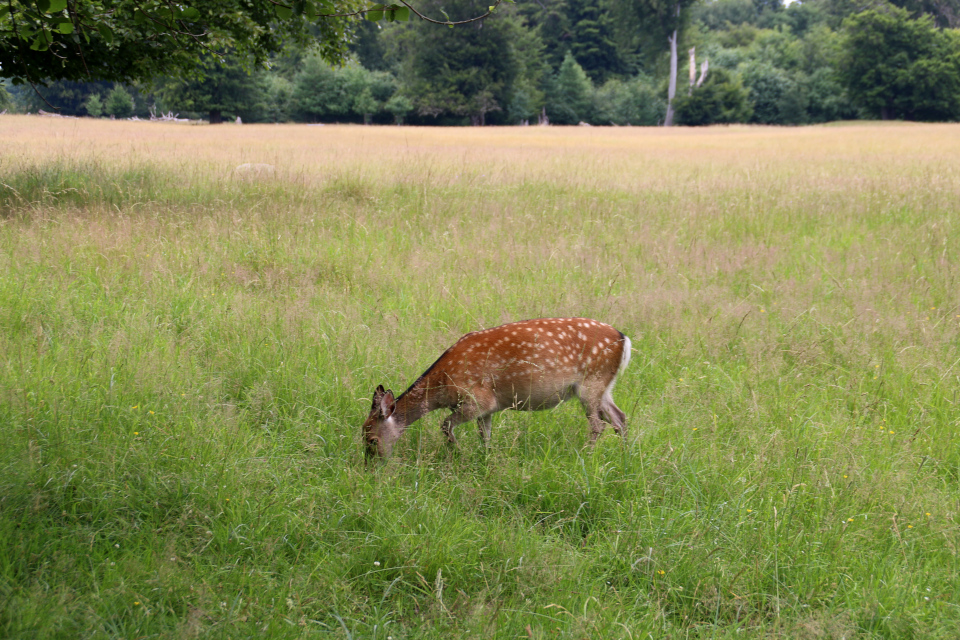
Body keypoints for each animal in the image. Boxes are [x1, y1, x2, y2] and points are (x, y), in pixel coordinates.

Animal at [360, 316, 632, 458]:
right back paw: (625, 456)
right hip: (602, 387)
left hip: (591, 382)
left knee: (598, 425)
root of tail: (624, 339)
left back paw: (585, 455)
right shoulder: (488, 409)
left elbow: (445, 425)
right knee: (620, 418)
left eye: (371, 439)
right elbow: (485, 436)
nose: (371, 467)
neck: (443, 386)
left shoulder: (478, 399)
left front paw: (459, 454)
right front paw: (485, 459)